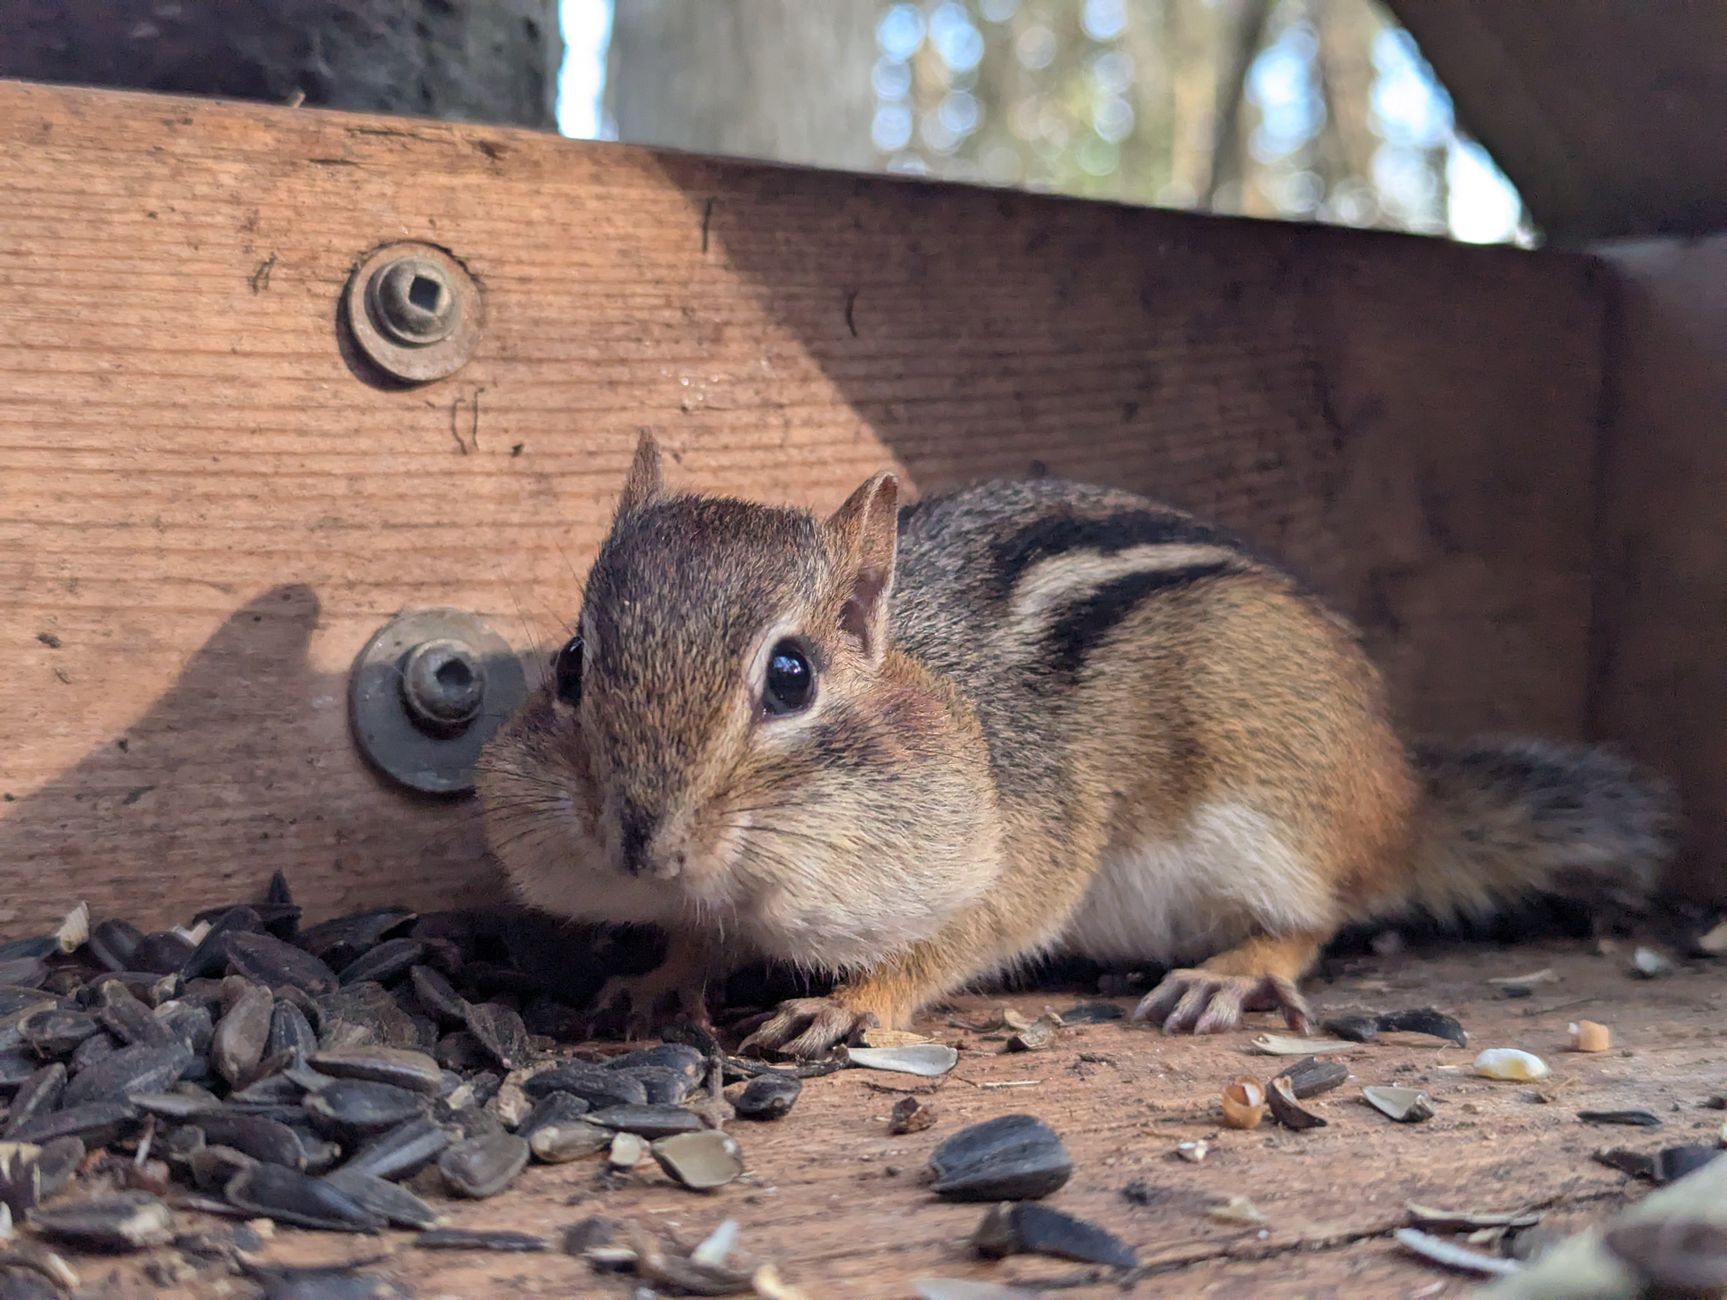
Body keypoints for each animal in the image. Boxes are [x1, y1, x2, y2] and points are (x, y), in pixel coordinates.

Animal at [477, 433, 1677, 1056]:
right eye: (571, 665)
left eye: (790, 676)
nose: (640, 841)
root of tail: (1402, 798)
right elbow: (692, 938)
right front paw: (659, 975)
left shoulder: (1026, 849)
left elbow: (966, 939)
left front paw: (849, 1001)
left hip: (1270, 811)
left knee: (1318, 917)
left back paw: (1225, 974)